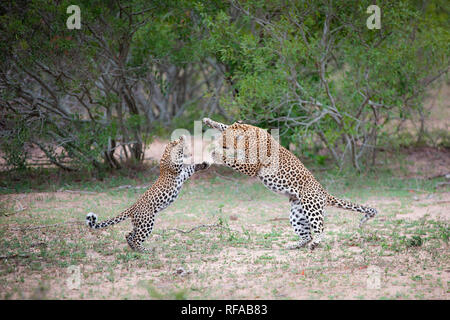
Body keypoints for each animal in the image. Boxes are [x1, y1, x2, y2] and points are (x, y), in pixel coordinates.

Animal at [203, 117, 376, 250]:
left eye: (224, 141)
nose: (217, 143)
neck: (248, 136)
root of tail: (323, 192)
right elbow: (224, 125)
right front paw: (209, 121)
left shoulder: (251, 166)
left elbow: (232, 159)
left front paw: (216, 153)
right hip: (297, 214)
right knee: (307, 235)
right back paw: (294, 245)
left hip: (311, 206)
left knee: (320, 229)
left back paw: (315, 243)